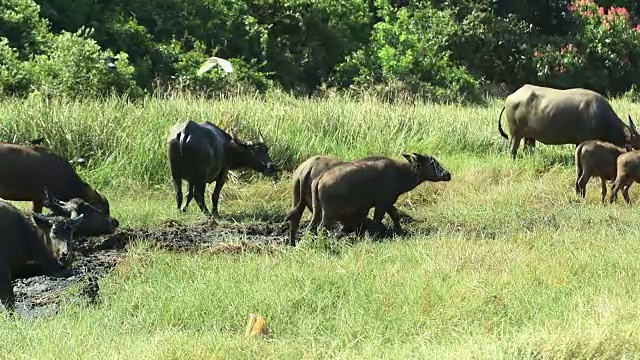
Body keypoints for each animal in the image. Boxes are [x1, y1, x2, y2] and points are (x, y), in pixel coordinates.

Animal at [304, 153, 450, 238]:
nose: (447, 174)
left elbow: (395, 215)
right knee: (322, 228)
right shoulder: (382, 203)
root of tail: (320, 178)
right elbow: (377, 220)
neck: (400, 173)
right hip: (328, 214)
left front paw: (399, 231)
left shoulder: (388, 202)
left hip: (317, 212)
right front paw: (374, 235)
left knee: (311, 227)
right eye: (433, 163)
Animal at [500, 84, 640, 159]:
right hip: (516, 133)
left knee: (528, 148)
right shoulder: (584, 139)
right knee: (512, 149)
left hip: (529, 136)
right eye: (637, 146)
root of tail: (511, 96)